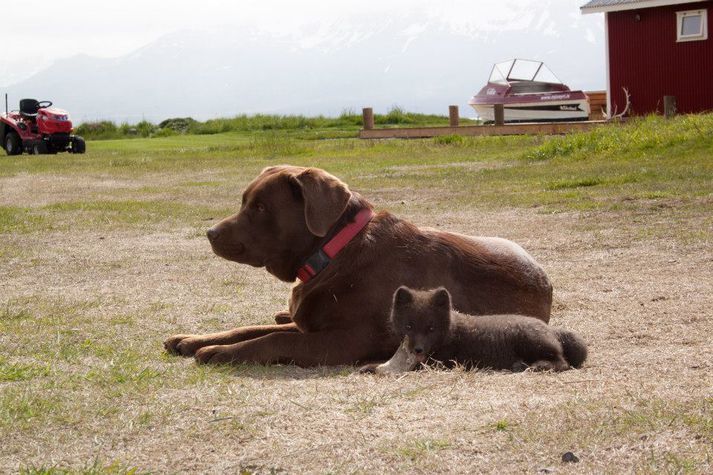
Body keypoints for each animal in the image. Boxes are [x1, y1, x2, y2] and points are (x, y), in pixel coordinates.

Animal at [164, 167, 552, 368]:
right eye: (244, 201)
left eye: (259, 207)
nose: (210, 233)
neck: (334, 253)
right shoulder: (310, 324)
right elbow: (248, 328)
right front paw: (193, 339)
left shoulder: (348, 340)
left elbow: (271, 339)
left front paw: (219, 352)